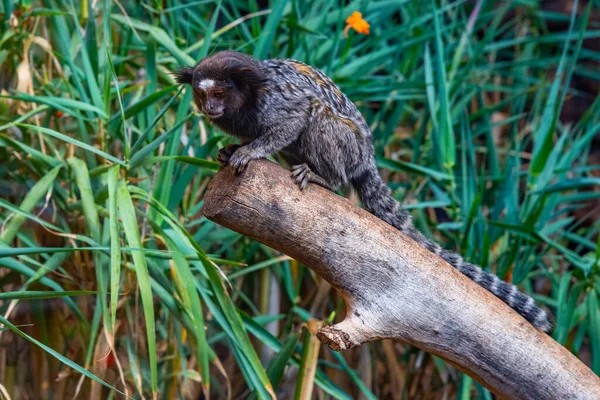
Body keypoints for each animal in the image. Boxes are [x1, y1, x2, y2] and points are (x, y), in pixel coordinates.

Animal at [171, 50, 552, 332]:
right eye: (202, 94)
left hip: (347, 146)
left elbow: (293, 120)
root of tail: (366, 157)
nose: (210, 107)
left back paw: (326, 178)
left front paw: (249, 152)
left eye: (219, 93)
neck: (248, 96)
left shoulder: (275, 103)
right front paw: (232, 149)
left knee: (321, 119)